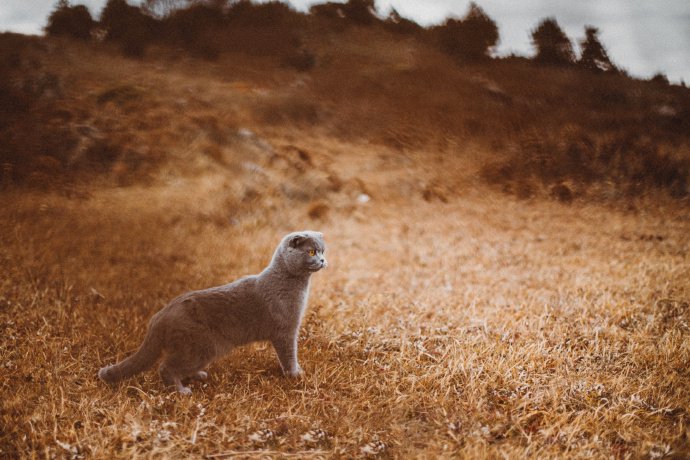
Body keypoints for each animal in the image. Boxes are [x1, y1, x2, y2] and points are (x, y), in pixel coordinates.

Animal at [97, 232, 328, 394]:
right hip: (201, 346)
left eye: (323, 251)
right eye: (311, 252)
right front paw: (295, 374)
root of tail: (158, 317)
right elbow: (289, 355)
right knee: (165, 367)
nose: (323, 260)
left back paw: (197, 376)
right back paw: (181, 392)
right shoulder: (285, 331)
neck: (291, 283)